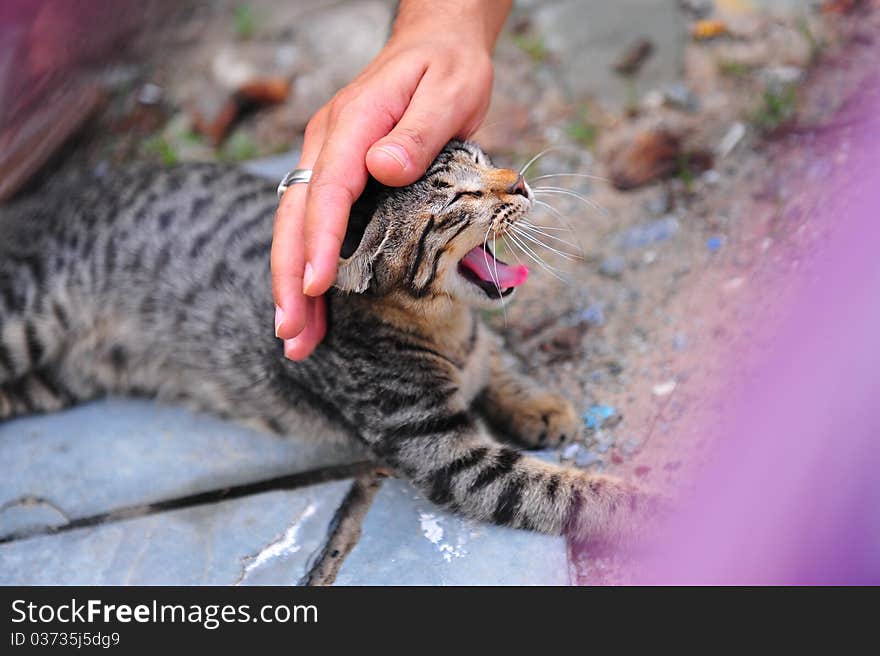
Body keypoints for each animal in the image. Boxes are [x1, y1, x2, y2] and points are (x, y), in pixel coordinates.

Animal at [0, 140, 648, 544]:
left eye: (485, 161)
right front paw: (649, 507)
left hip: (60, 379)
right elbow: (559, 491)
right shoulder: (445, 451)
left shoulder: (476, 350)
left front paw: (540, 405)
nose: (521, 183)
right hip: (28, 316)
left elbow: (498, 361)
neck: (442, 326)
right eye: (458, 199)